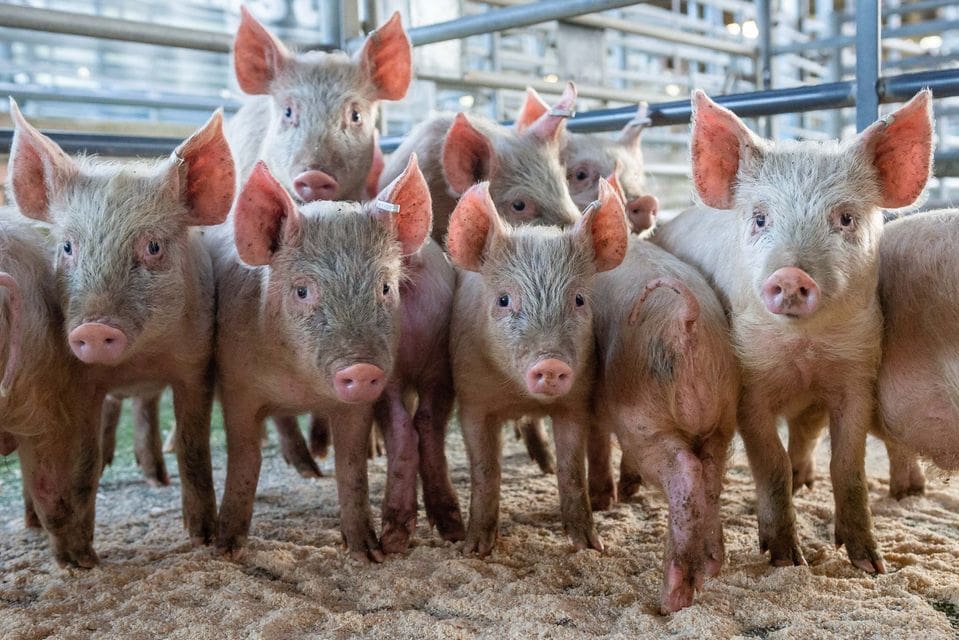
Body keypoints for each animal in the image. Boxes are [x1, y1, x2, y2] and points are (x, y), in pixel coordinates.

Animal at [9, 102, 235, 547]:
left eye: (153, 246)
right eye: (67, 246)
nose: (94, 329)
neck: (140, 361)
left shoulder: (196, 365)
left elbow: (193, 447)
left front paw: (202, 538)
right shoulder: (81, 379)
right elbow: (84, 457)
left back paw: (155, 479)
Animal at [210, 156, 432, 559]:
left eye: (385, 287)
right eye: (302, 290)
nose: (361, 369)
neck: (299, 388)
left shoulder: (358, 405)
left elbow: (352, 466)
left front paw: (369, 553)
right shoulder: (236, 386)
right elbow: (245, 458)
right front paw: (226, 550)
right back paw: (307, 470)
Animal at [446, 178, 627, 556]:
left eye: (579, 299)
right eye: (503, 299)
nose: (551, 362)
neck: (519, 396)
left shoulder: (576, 400)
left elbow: (572, 471)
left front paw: (591, 547)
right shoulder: (471, 399)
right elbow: (484, 470)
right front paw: (475, 549)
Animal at [588, 237, 739, 612]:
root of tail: (686, 323)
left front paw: (611, 496)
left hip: (645, 423)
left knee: (686, 472)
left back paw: (672, 600)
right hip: (722, 416)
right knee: (710, 475)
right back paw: (710, 567)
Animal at [653, 90, 934, 572]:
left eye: (845, 218)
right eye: (761, 218)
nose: (789, 274)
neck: (807, 351)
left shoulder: (857, 376)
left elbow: (848, 465)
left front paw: (870, 565)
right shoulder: (749, 384)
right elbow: (771, 463)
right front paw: (787, 561)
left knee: (806, 432)